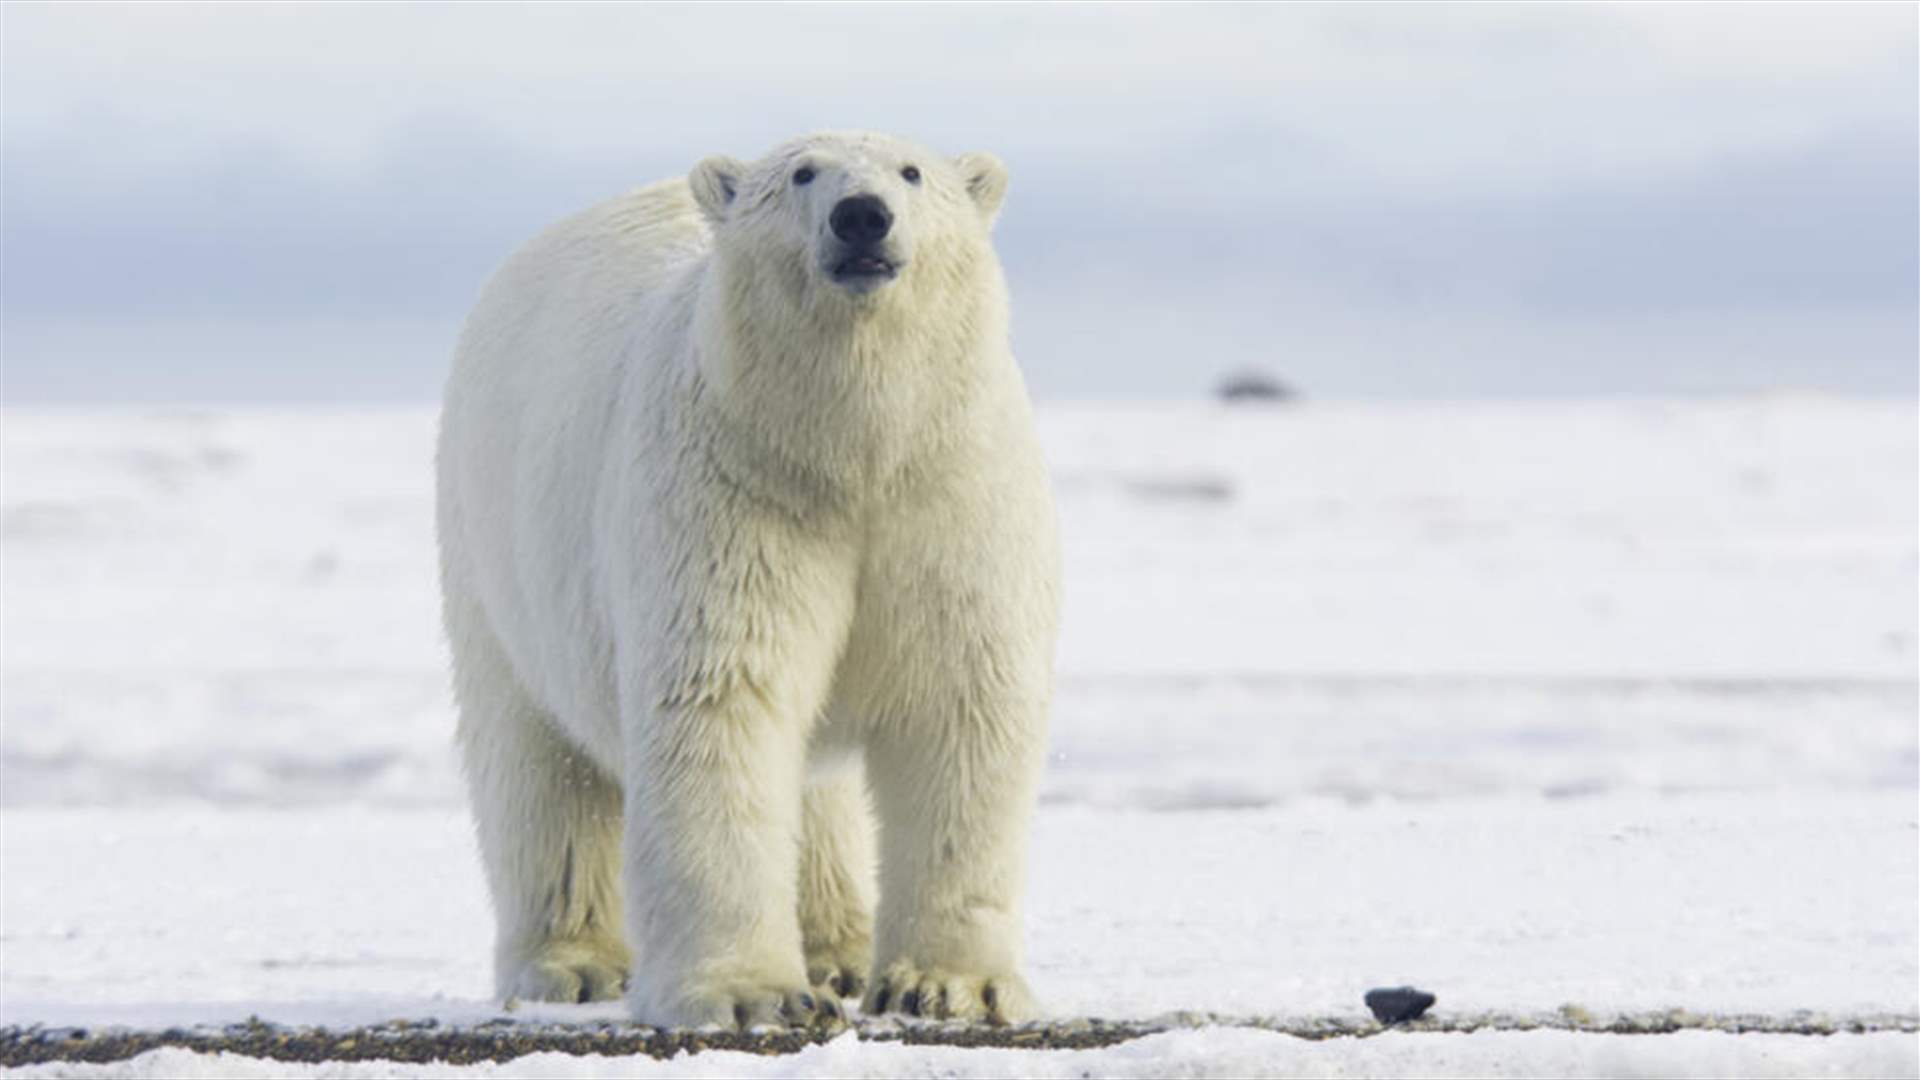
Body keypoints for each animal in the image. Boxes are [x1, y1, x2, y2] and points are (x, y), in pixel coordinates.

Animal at [437, 130, 1059, 1022]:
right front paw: (746, 994)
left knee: (816, 791)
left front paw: (947, 986)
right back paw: (572, 964)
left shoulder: (951, 498)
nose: (861, 216)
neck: (849, 454)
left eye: (911, 172)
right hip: (495, 554)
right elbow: (724, 699)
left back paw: (838, 953)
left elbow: (963, 702)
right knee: (537, 766)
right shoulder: (732, 492)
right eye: (802, 173)